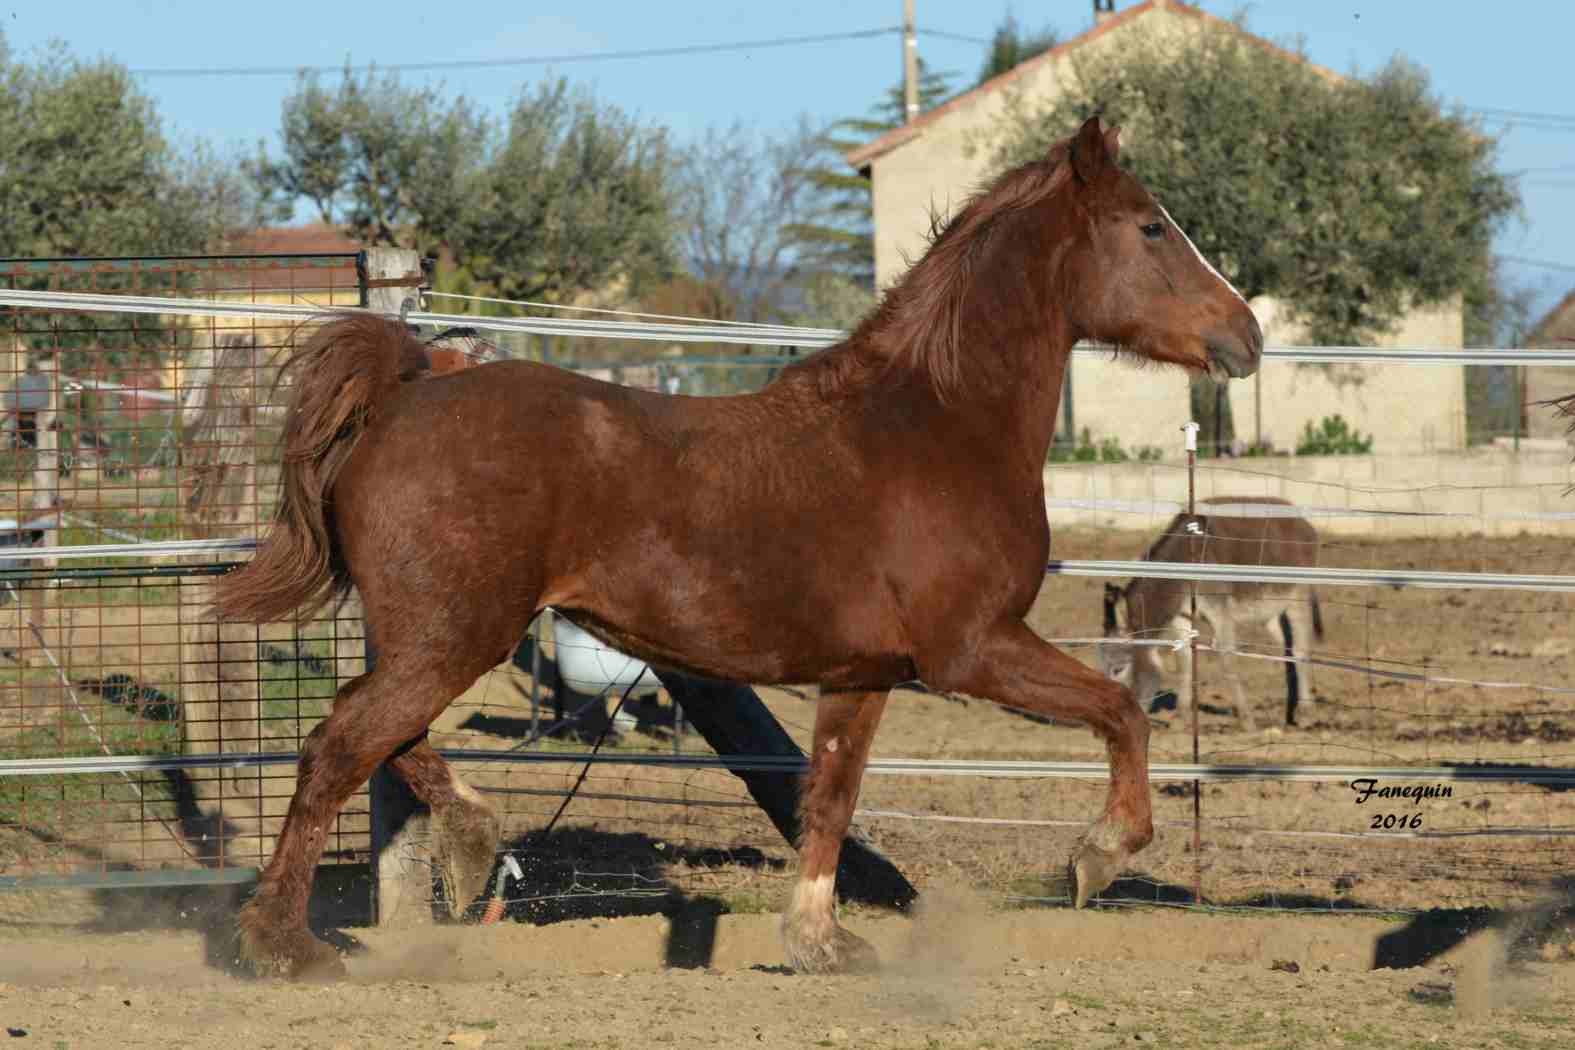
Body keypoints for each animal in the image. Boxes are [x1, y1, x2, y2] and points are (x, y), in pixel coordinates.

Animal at [212, 118, 1266, 982]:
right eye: (1151, 228)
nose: (1246, 336)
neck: (934, 425)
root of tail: (406, 388)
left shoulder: (861, 674)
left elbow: (828, 799)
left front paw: (820, 942)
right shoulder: (971, 650)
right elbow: (1122, 712)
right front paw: (1099, 854)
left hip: (438, 635)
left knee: (384, 737)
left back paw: (470, 846)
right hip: (455, 633)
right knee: (343, 742)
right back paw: (285, 944)